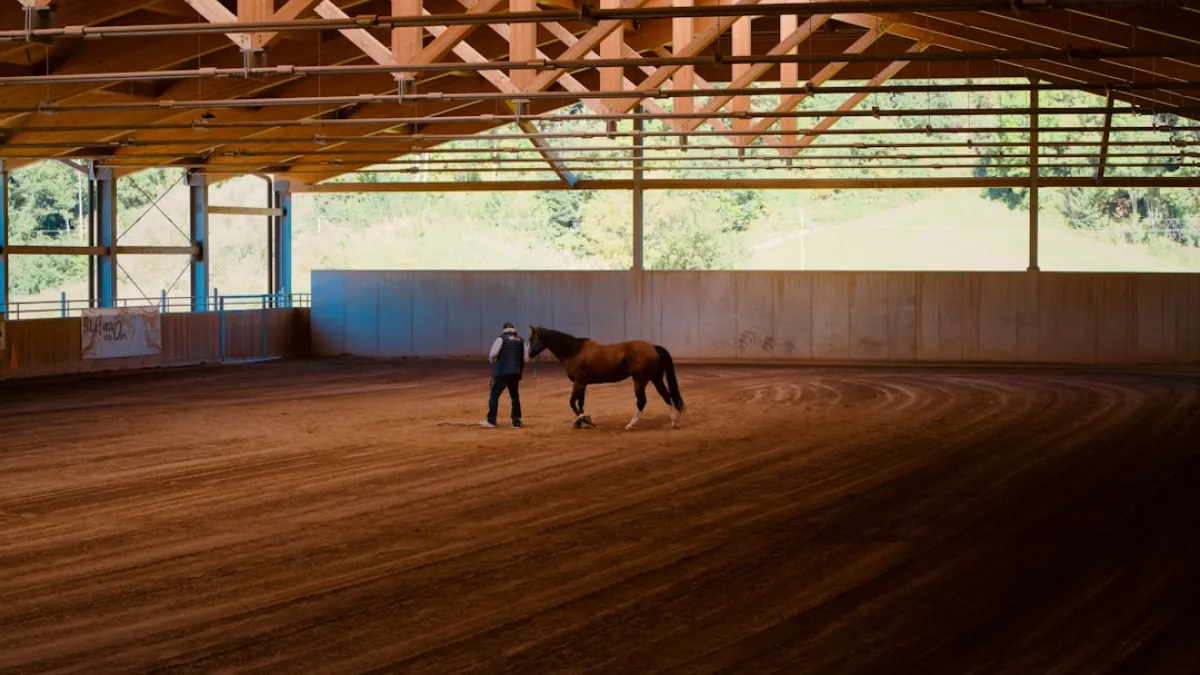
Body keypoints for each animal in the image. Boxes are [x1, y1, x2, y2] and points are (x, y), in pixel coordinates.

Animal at [527, 326, 685, 430]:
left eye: (532, 339)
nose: (528, 356)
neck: (574, 351)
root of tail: (653, 347)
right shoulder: (583, 384)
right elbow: (580, 403)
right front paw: (580, 421)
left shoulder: (578, 383)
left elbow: (572, 403)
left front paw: (586, 420)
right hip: (655, 378)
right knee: (666, 396)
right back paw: (673, 422)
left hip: (640, 380)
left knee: (642, 401)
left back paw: (630, 424)